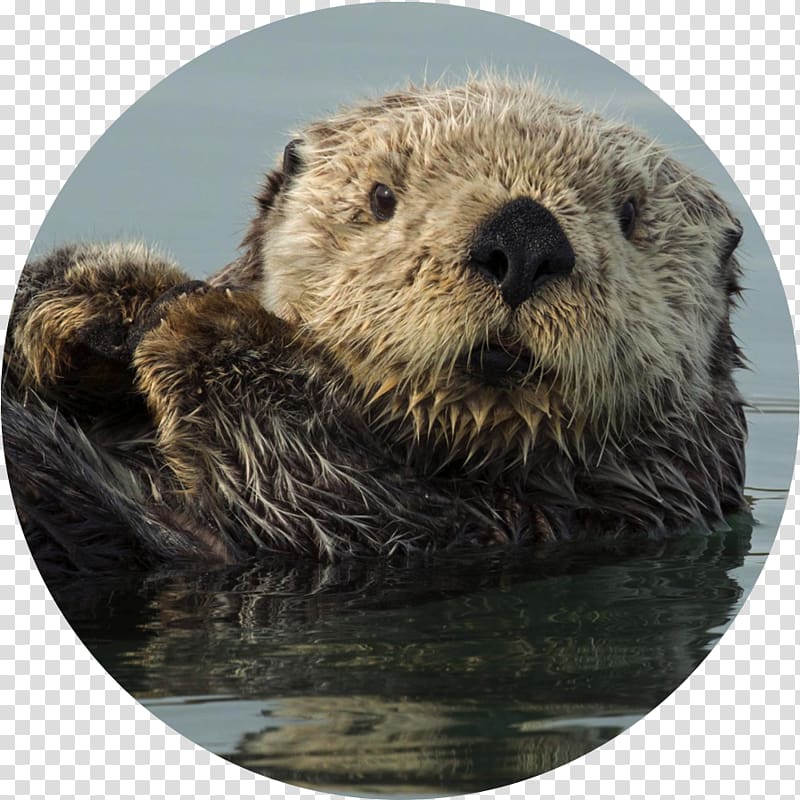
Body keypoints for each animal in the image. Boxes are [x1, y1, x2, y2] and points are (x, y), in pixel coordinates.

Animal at [2, 79, 747, 577]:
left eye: (631, 215)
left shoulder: (519, 528)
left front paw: (205, 325)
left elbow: (318, 493)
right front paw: (113, 301)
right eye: (381, 197)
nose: (525, 237)